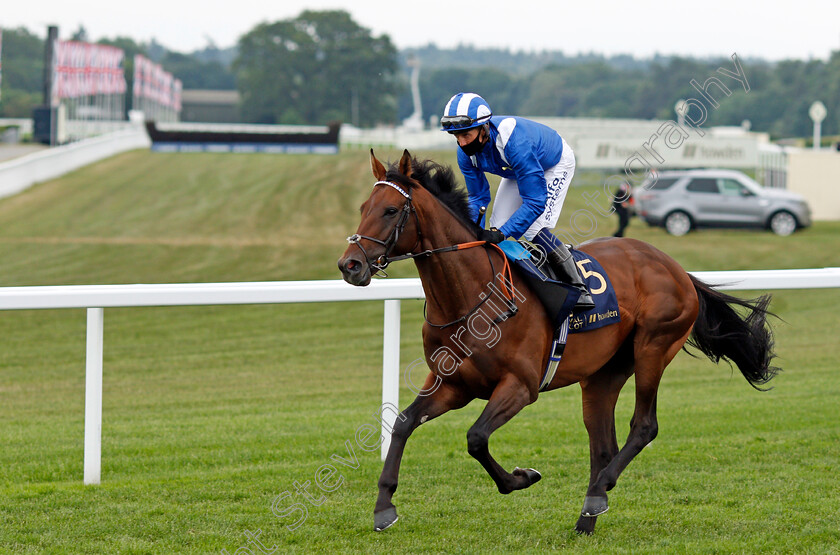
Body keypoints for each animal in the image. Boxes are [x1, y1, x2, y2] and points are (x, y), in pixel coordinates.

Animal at [336, 150, 780, 536]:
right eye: (362, 207)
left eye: (391, 210)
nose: (349, 265)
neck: (472, 296)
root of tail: (677, 269)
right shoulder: (453, 385)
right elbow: (403, 423)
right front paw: (384, 508)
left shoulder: (520, 386)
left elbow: (476, 438)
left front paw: (522, 477)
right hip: (602, 374)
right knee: (602, 446)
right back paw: (588, 514)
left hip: (653, 347)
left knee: (643, 426)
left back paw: (599, 494)